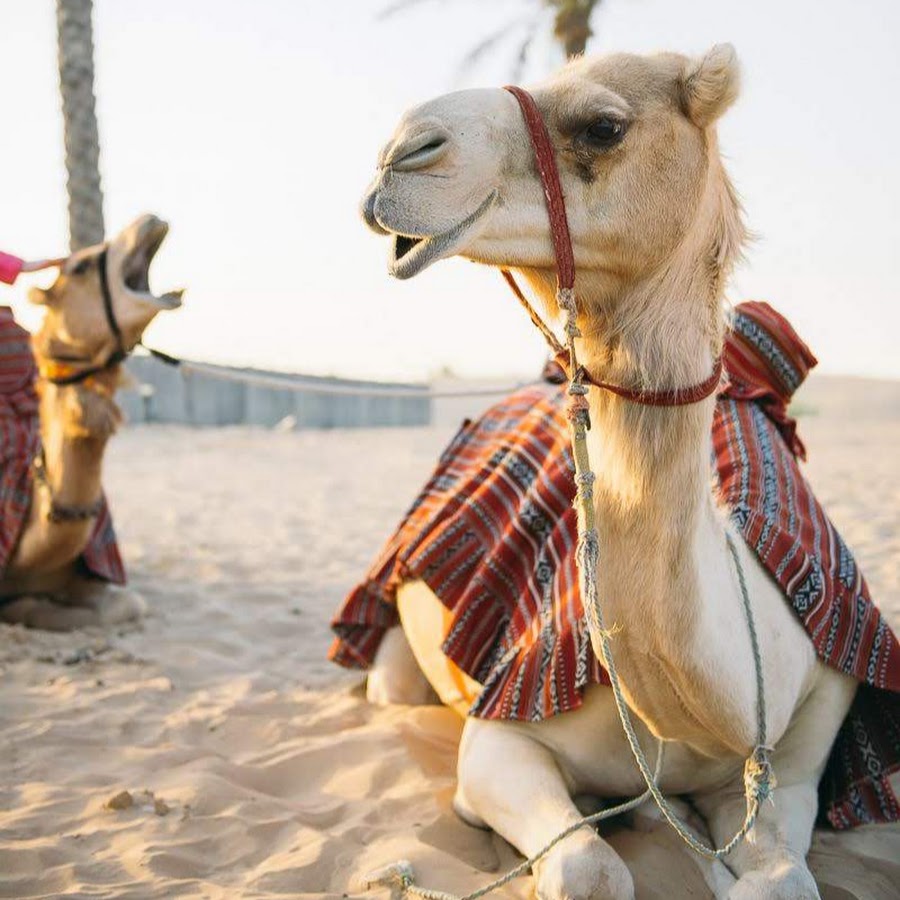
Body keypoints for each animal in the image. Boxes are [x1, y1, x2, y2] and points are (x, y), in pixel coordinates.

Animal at [340, 47, 900, 900]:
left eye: (603, 125)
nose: (398, 155)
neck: (703, 713)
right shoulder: (503, 731)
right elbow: (589, 869)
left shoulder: (803, 756)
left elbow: (780, 880)